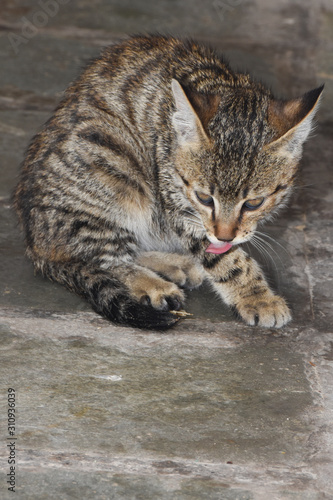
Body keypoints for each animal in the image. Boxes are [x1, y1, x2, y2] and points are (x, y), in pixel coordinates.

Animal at [13, 37, 322, 330]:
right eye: (204, 198)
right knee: (101, 257)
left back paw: (176, 264)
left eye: (254, 203)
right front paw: (257, 297)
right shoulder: (177, 203)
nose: (224, 237)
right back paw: (153, 284)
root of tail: (34, 244)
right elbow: (224, 259)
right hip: (113, 163)